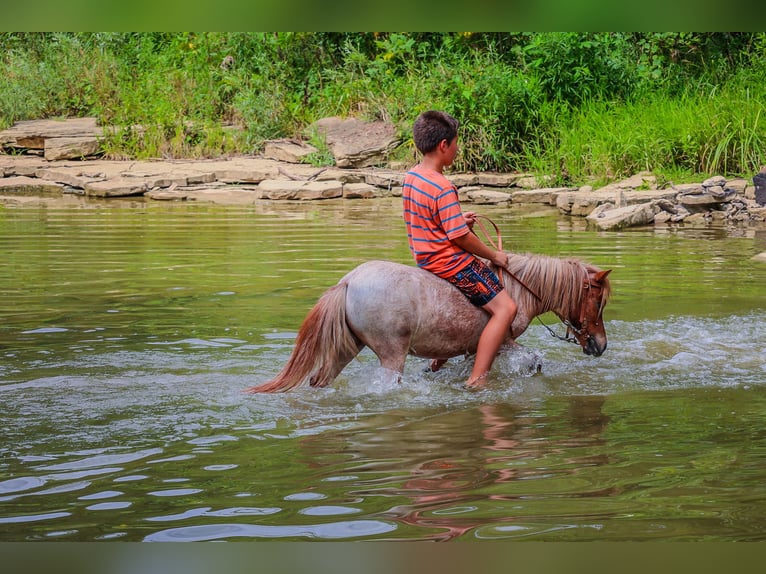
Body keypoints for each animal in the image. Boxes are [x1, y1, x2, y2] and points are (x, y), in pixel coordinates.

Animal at [249, 254, 616, 394]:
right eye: (598, 301)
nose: (600, 346)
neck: (518, 289)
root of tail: (348, 282)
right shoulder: (503, 341)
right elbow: (533, 361)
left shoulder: (469, 348)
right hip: (391, 354)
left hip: (345, 349)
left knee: (320, 380)